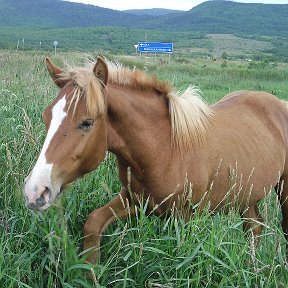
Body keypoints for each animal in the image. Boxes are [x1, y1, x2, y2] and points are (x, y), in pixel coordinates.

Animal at [23, 56, 288, 264]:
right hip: (247, 195)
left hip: (282, 189)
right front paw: (90, 273)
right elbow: (93, 222)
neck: (165, 149)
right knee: (254, 227)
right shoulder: (135, 199)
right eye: (46, 117)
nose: (35, 192)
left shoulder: (185, 219)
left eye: (87, 123)